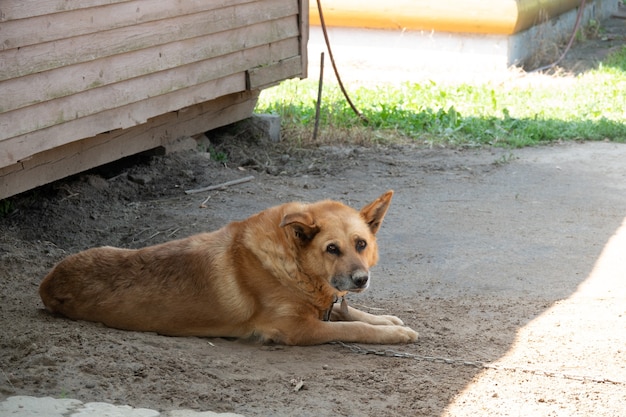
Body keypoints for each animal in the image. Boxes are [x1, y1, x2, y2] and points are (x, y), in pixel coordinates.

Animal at [41, 190, 416, 342]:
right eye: (331, 249)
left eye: (361, 244)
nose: (361, 279)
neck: (292, 262)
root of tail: (47, 283)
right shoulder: (296, 329)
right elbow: (355, 328)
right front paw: (393, 333)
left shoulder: (325, 305)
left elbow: (350, 312)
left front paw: (387, 319)